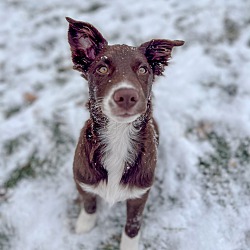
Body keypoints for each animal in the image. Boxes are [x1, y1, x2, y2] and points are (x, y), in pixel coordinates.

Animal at [66, 16, 184, 249]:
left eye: (143, 70)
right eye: (102, 69)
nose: (126, 96)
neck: (118, 135)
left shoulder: (140, 195)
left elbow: (133, 223)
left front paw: (129, 244)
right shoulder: (81, 180)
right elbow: (89, 202)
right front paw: (85, 224)